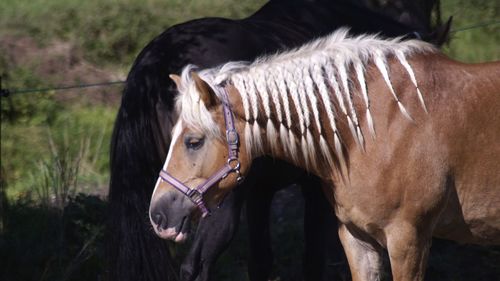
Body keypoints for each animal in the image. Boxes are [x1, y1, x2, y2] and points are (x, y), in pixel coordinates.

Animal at [107, 0, 448, 278]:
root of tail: (157, 61)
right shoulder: (316, 191)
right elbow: (312, 260)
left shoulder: (259, 192)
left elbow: (261, 263)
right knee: (195, 266)